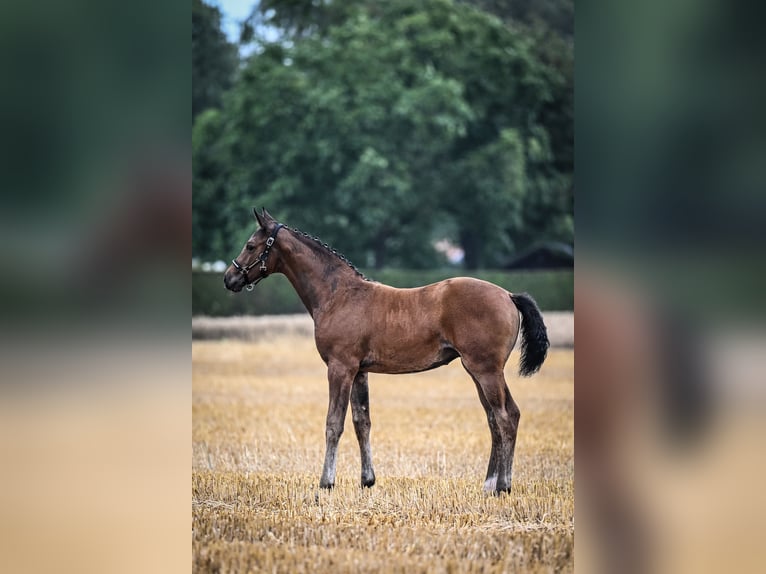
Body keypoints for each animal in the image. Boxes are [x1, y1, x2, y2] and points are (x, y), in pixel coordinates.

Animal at [224, 209, 552, 492]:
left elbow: (334, 423)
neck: (338, 295)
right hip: (479, 372)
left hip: (485, 370)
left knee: (505, 417)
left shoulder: (340, 367)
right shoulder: (359, 371)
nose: (229, 278)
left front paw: (326, 482)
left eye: (250, 245)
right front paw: (367, 480)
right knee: (498, 418)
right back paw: (488, 484)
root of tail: (508, 295)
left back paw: (503, 486)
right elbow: (362, 422)